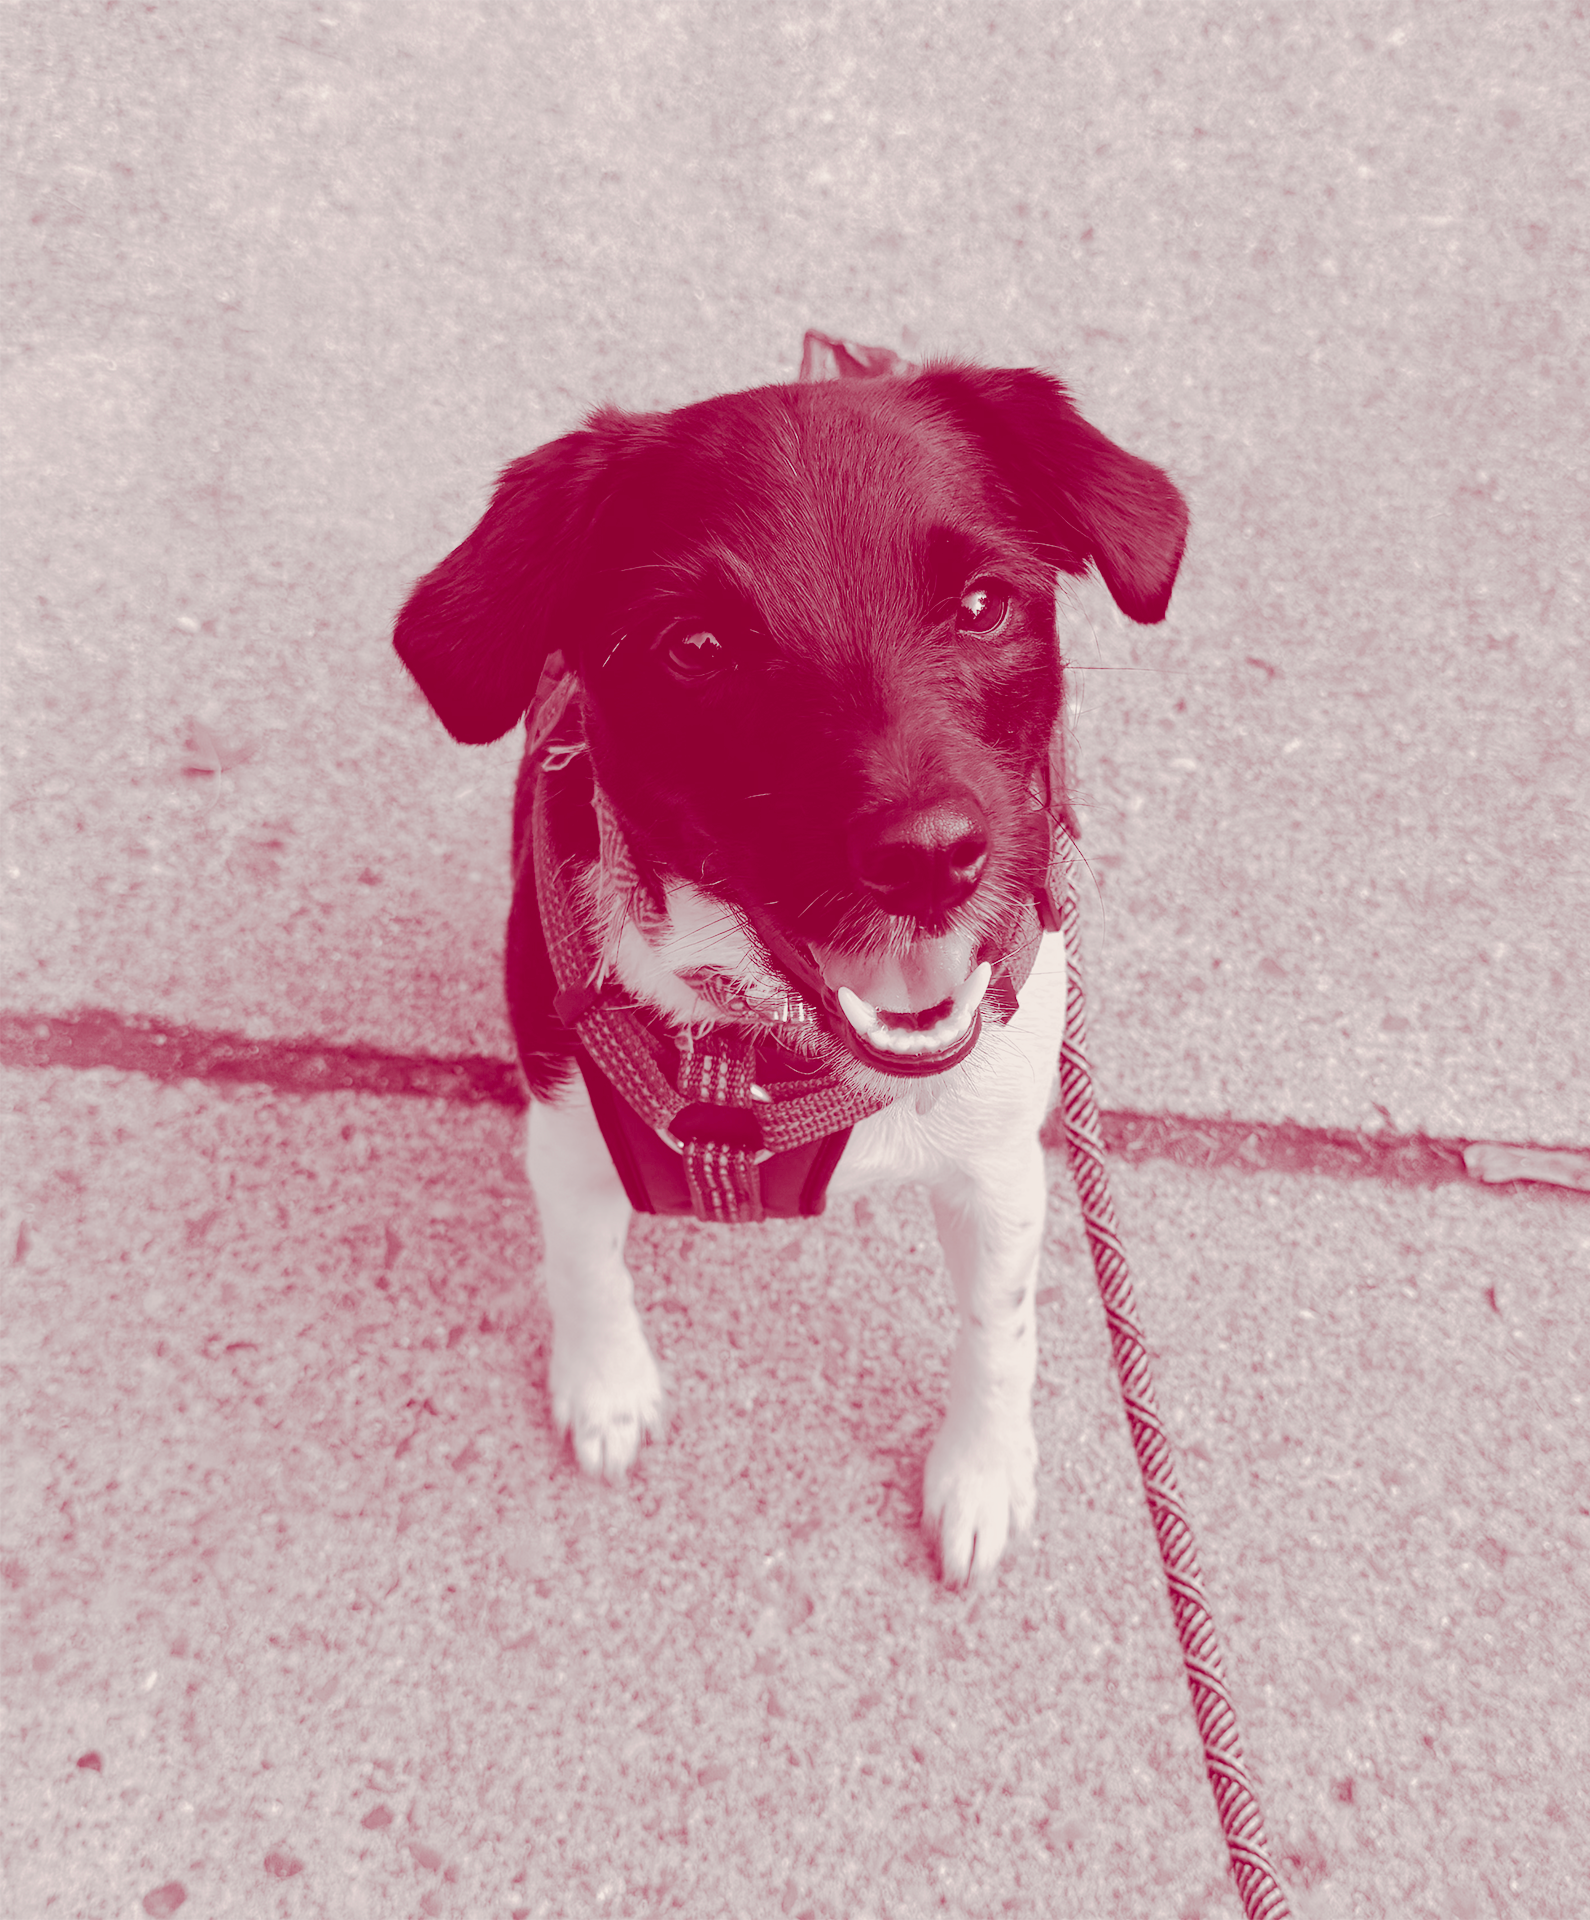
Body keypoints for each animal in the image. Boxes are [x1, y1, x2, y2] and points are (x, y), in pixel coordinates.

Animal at [394, 336, 1186, 1583]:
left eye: (982, 604)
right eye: (695, 647)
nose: (929, 859)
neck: (756, 1049)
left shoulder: (998, 1167)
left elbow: (999, 1327)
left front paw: (983, 1471)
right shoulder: (566, 1140)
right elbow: (584, 1267)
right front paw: (605, 1386)